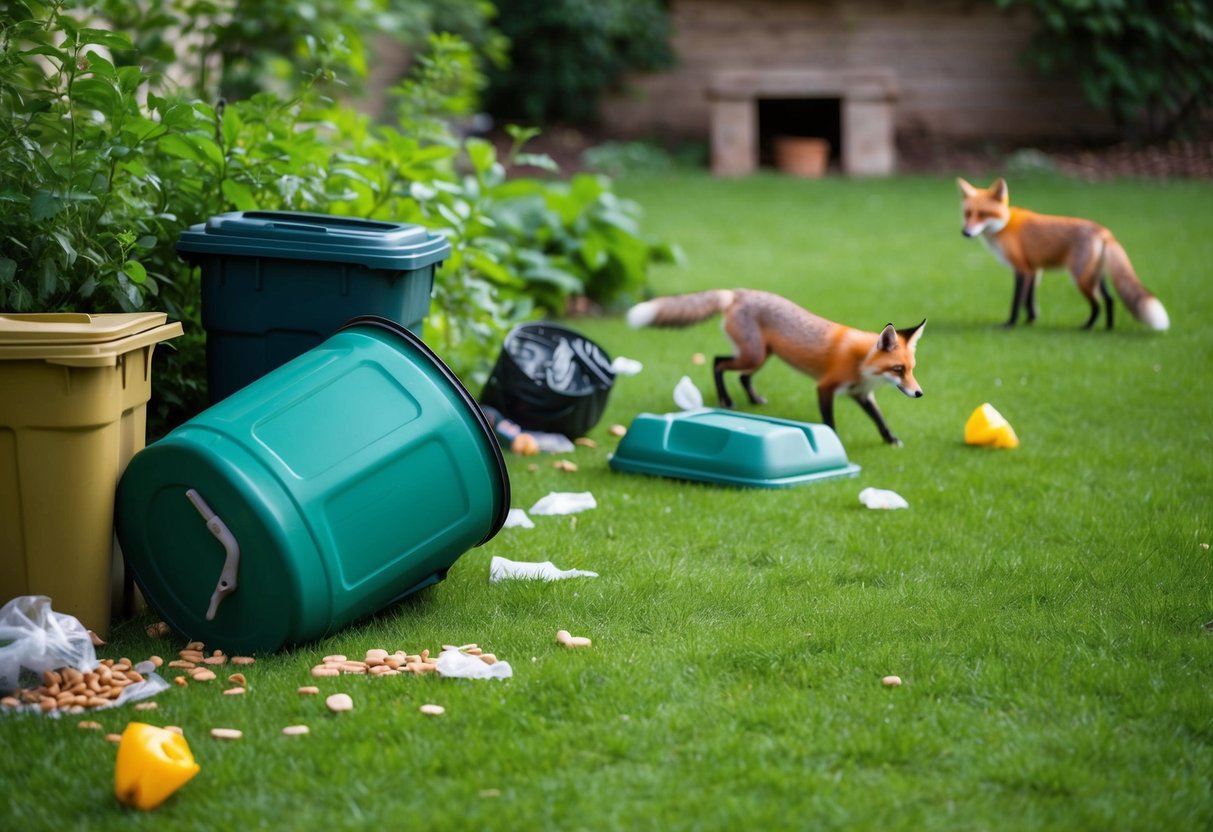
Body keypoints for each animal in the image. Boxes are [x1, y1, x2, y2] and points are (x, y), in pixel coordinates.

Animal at [627, 289, 926, 446]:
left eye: (911, 369)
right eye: (898, 369)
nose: (919, 393)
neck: (861, 362)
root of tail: (738, 293)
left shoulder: (861, 394)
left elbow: (880, 419)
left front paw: (891, 439)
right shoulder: (825, 387)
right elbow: (830, 421)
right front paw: (833, 439)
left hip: (764, 355)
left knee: (741, 376)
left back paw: (754, 399)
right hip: (754, 355)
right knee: (717, 362)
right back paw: (726, 400)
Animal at [957, 177, 1169, 331]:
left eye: (983, 214)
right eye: (968, 213)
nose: (965, 233)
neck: (1005, 225)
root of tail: (1103, 231)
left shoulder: (1022, 269)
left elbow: (1017, 301)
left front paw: (1010, 324)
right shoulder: (1034, 270)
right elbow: (1029, 301)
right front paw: (1030, 321)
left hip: (1081, 278)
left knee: (1097, 304)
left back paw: (1087, 327)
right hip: (1095, 276)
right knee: (1109, 299)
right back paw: (1108, 328)